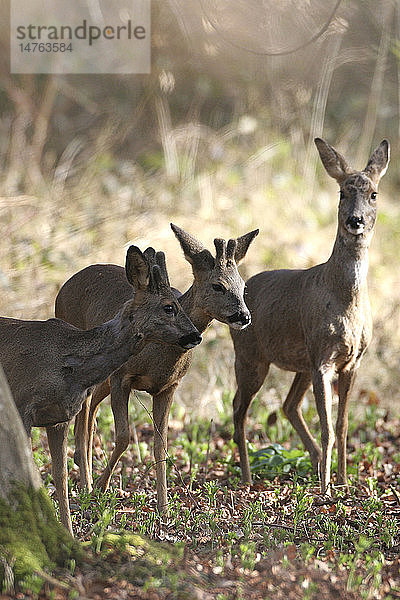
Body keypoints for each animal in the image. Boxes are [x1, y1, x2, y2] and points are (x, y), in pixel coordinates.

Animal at [0, 246, 200, 532]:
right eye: (169, 306)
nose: (196, 335)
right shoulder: (22, 407)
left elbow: (60, 476)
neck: (67, 363)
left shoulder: (58, 418)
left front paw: (68, 532)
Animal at [54, 223, 258, 512]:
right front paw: (102, 488)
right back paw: (87, 484)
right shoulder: (122, 377)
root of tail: (65, 285)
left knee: (89, 416)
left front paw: (164, 506)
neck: (159, 356)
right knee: (82, 420)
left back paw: (84, 473)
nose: (244, 316)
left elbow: (161, 445)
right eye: (218, 286)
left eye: (243, 287)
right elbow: (124, 436)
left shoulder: (168, 386)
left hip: (103, 380)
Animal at [230, 139, 390, 492]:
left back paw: (314, 463)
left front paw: (343, 480)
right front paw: (327, 487)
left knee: (288, 405)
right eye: (342, 192)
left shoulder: (352, 361)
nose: (355, 220)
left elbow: (343, 425)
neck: (344, 299)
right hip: (251, 355)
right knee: (239, 407)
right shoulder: (323, 358)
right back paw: (247, 477)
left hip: (299, 362)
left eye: (373, 194)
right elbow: (327, 427)